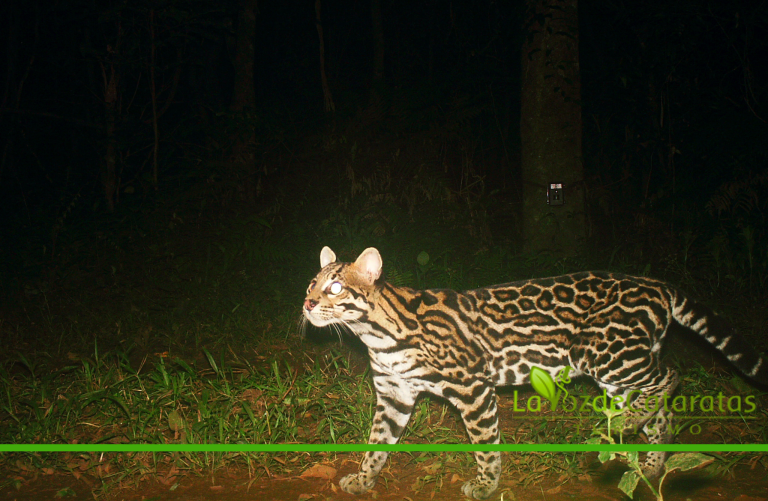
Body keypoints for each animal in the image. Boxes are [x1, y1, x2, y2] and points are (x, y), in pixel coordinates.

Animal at [304, 247, 764, 500]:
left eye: (336, 288)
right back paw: (651, 463)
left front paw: (486, 486)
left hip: (608, 356)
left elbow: (485, 444)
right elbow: (377, 443)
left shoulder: (473, 387)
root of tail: (658, 285)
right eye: (311, 284)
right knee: (659, 408)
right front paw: (364, 478)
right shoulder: (394, 394)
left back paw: (625, 429)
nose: (307, 304)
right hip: (617, 371)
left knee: (669, 378)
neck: (377, 334)